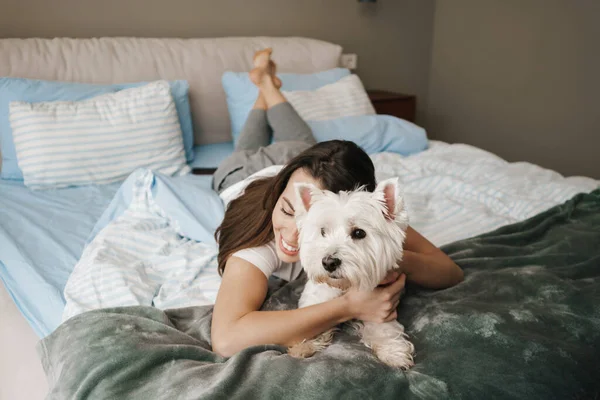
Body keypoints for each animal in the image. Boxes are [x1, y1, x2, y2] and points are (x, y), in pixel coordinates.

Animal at [288, 177, 414, 370]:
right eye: (323, 231)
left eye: (359, 233)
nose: (328, 263)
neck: (346, 286)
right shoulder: (318, 298)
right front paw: (305, 345)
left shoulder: (382, 307)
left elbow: (384, 330)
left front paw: (393, 352)